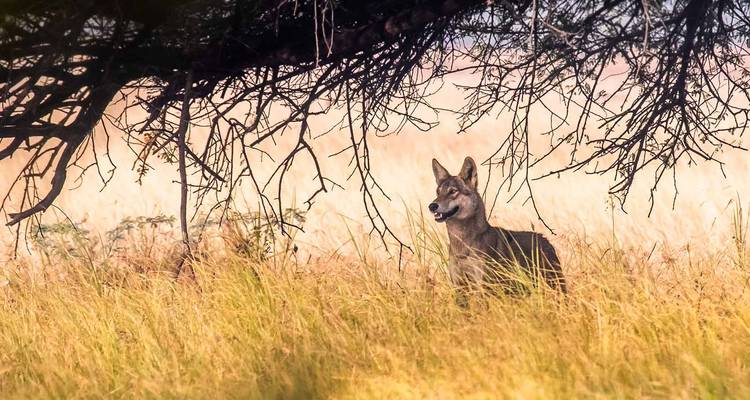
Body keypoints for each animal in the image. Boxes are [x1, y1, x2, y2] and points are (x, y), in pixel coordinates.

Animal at [429, 156, 567, 303]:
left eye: (453, 191)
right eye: (438, 192)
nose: (432, 206)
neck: (462, 245)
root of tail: (546, 240)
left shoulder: (482, 287)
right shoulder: (459, 288)